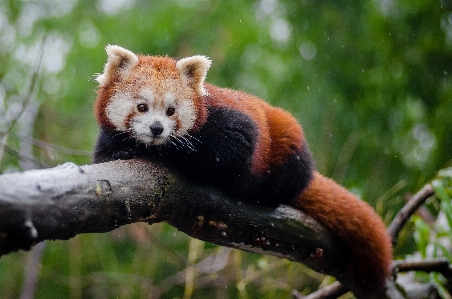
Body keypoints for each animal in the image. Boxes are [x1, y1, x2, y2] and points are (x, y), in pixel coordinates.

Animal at [92, 45, 392, 299]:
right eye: (142, 107)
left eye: (171, 111)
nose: (157, 129)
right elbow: (104, 155)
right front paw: (122, 151)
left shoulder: (229, 126)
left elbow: (223, 150)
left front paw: (167, 153)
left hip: (287, 143)